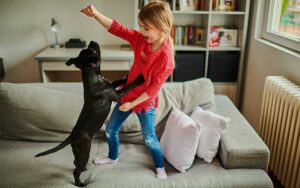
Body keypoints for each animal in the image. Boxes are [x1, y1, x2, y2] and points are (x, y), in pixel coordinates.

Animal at [34, 41, 145, 187]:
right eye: (92, 51)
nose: (92, 42)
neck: (94, 78)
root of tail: (72, 136)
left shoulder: (111, 85)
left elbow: (117, 82)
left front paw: (125, 77)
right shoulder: (116, 95)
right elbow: (128, 87)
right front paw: (139, 79)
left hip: (78, 153)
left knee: (76, 163)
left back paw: (84, 170)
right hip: (84, 151)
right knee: (76, 170)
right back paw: (79, 183)